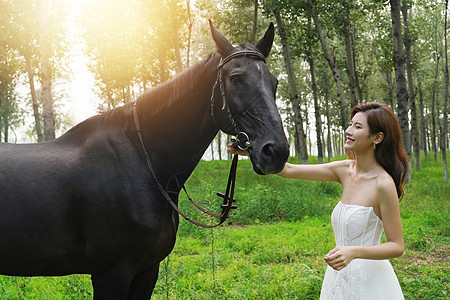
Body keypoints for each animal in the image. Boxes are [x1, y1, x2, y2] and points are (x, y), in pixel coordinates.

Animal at [0, 21, 288, 300]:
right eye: (236, 78)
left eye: (274, 82)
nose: (277, 151)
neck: (142, 163)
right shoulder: (111, 274)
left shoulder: (148, 270)